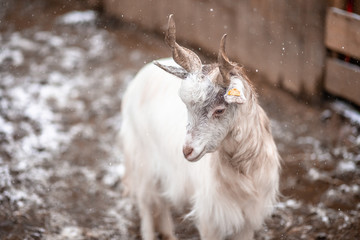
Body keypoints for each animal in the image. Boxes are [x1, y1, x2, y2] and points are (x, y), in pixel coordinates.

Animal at [119, 15, 280, 240]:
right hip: (142, 162)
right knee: (147, 205)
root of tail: (140, 77)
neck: (243, 175)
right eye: (187, 106)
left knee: (161, 203)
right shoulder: (210, 218)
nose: (187, 151)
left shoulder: (248, 219)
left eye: (220, 110)